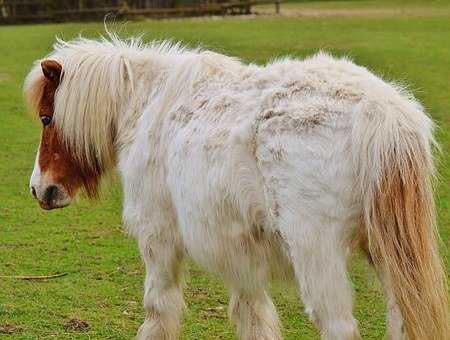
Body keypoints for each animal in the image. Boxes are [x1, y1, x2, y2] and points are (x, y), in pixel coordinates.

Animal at [25, 35, 450, 340]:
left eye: (47, 118)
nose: (39, 190)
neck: (146, 107)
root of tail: (382, 114)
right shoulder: (240, 250)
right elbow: (252, 315)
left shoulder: (158, 236)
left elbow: (159, 307)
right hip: (385, 254)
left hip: (317, 253)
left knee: (339, 326)